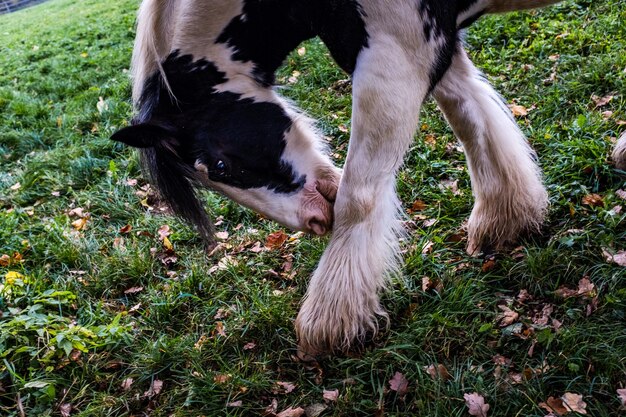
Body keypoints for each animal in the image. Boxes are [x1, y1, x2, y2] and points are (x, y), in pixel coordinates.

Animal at [112, 0, 624, 356]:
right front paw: (507, 217)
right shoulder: (434, 50)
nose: (314, 221)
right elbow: (470, 115)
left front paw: (328, 324)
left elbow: (359, 195)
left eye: (218, 167)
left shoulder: (395, 57)